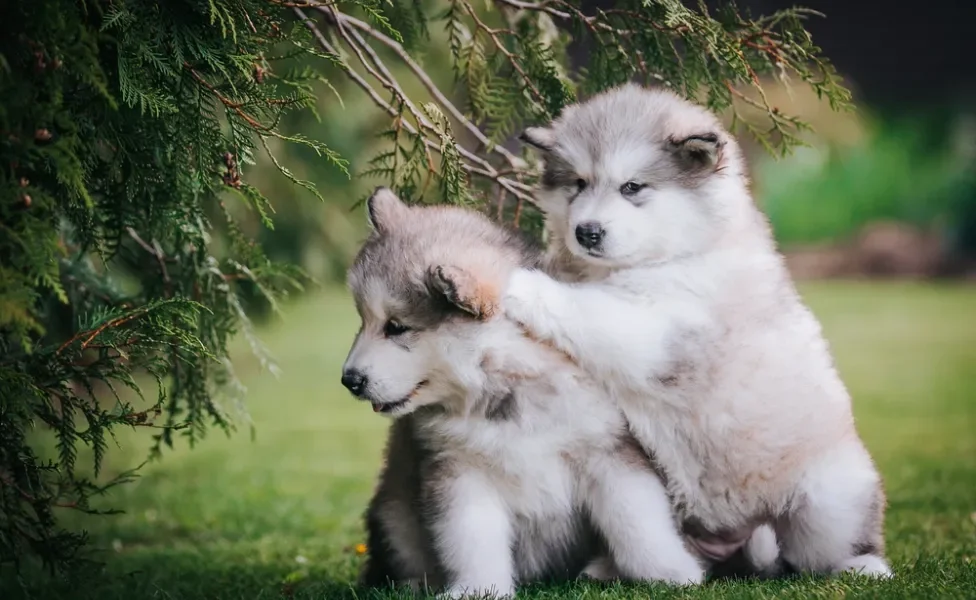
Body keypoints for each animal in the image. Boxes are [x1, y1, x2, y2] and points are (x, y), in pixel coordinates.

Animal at [504, 82, 892, 580]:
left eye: (632, 187)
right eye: (578, 184)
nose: (586, 232)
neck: (674, 252)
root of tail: (736, 541)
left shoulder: (660, 328)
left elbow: (585, 308)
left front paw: (518, 283)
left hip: (829, 499)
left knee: (824, 549)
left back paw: (863, 565)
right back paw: (609, 567)